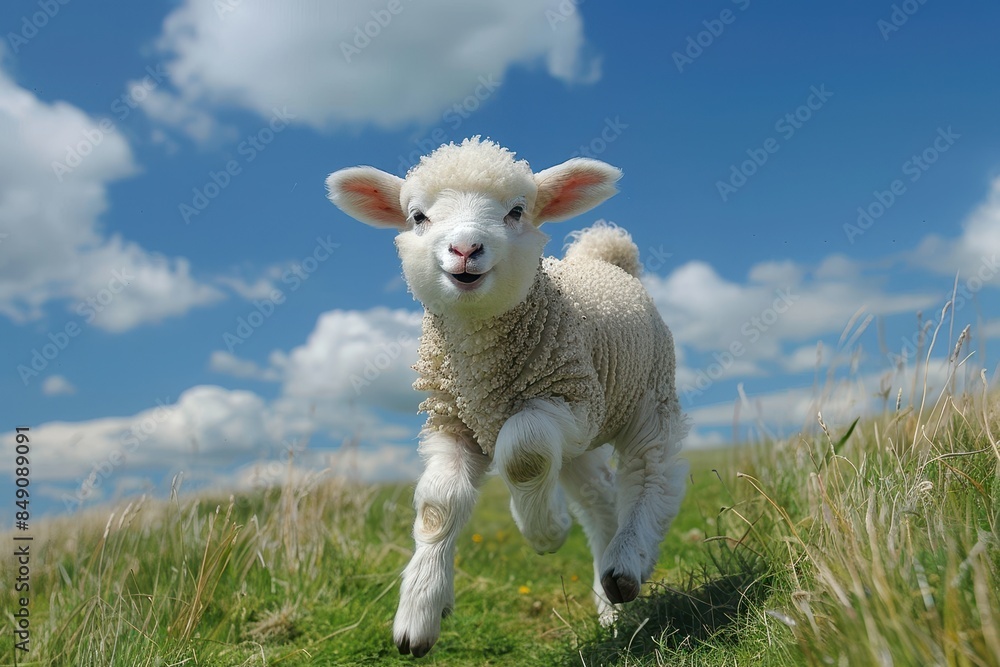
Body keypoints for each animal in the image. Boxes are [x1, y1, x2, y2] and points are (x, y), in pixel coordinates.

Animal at [326, 137, 688, 656]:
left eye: (516, 211)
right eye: (417, 216)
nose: (465, 249)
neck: (482, 376)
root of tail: (607, 255)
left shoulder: (567, 397)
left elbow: (523, 454)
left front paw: (547, 532)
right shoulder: (452, 419)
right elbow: (438, 505)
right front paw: (420, 612)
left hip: (647, 394)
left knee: (649, 473)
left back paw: (626, 563)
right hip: (583, 437)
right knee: (598, 497)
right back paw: (608, 600)